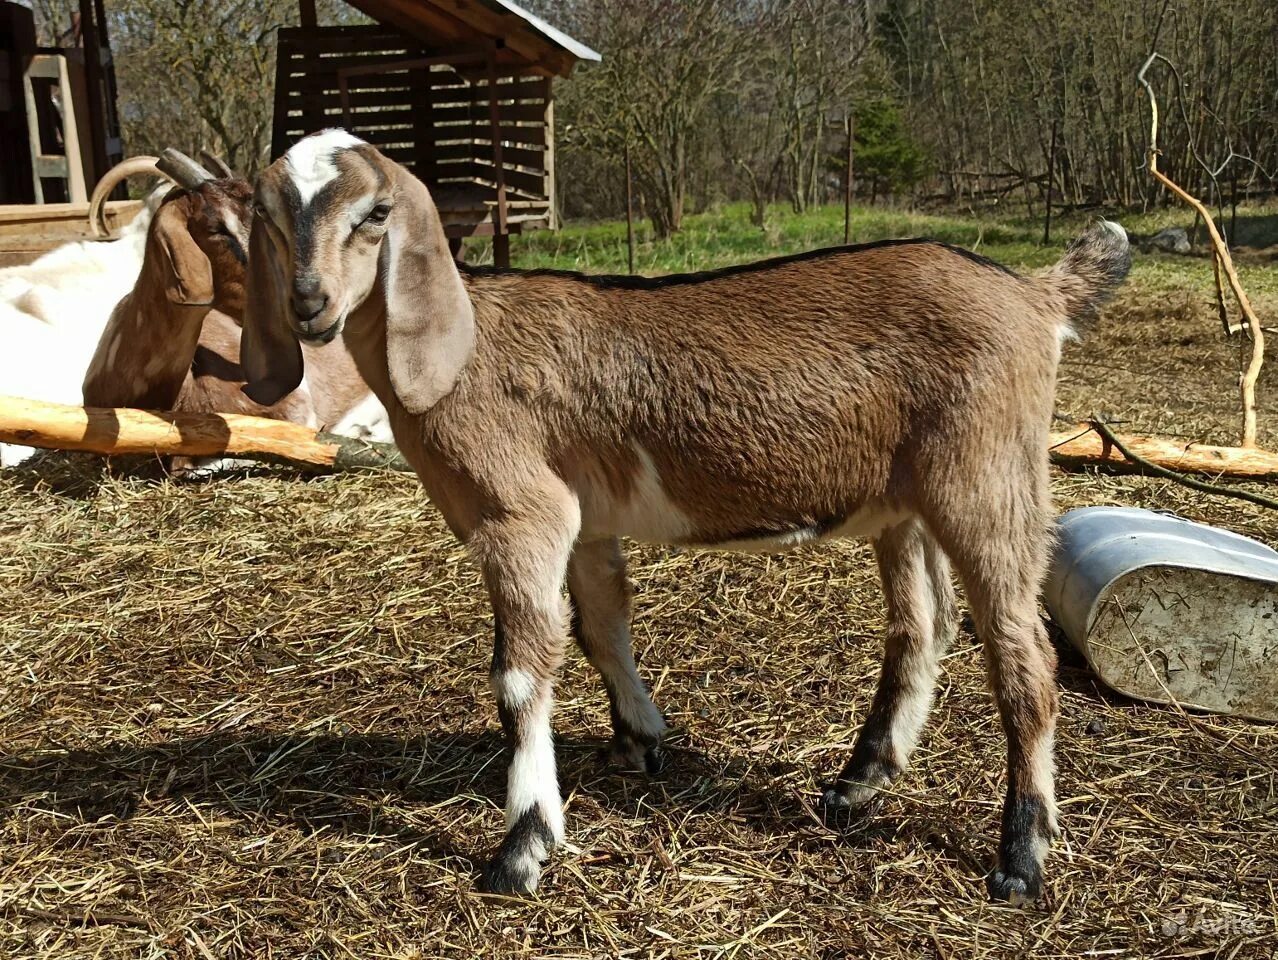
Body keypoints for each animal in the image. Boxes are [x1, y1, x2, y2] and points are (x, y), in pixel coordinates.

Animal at [237, 131, 1129, 905]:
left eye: (376, 213)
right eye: (270, 216)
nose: (309, 303)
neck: (464, 348)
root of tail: (1036, 294)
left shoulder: (520, 513)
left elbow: (520, 675)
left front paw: (523, 847)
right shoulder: (587, 518)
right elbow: (601, 627)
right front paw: (640, 741)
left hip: (988, 478)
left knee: (1025, 657)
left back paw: (1020, 857)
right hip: (907, 504)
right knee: (926, 625)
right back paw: (858, 783)